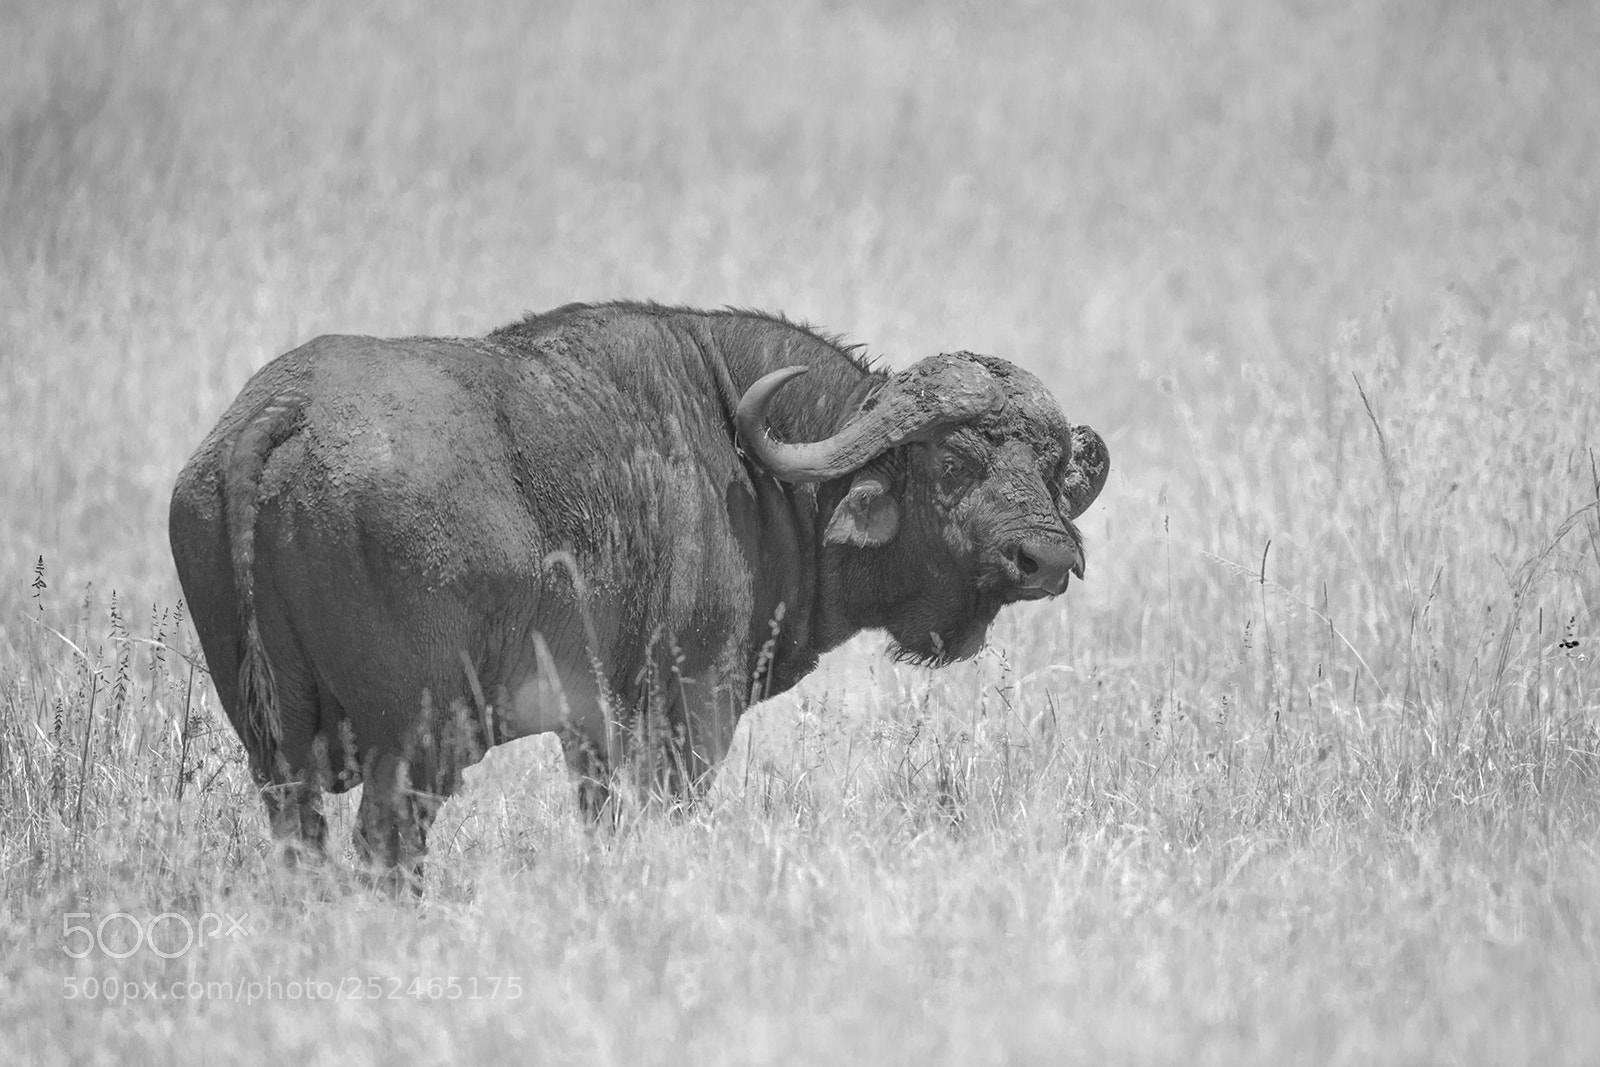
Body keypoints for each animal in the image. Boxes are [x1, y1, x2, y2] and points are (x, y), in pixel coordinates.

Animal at [169, 302, 1108, 875]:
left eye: (1049, 463)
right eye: (954, 461)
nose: (1046, 555)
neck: (752, 466)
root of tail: (282, 414)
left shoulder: (593, 730)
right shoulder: (692, 710)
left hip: (277, 755)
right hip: (420, 741)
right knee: (386, 845)